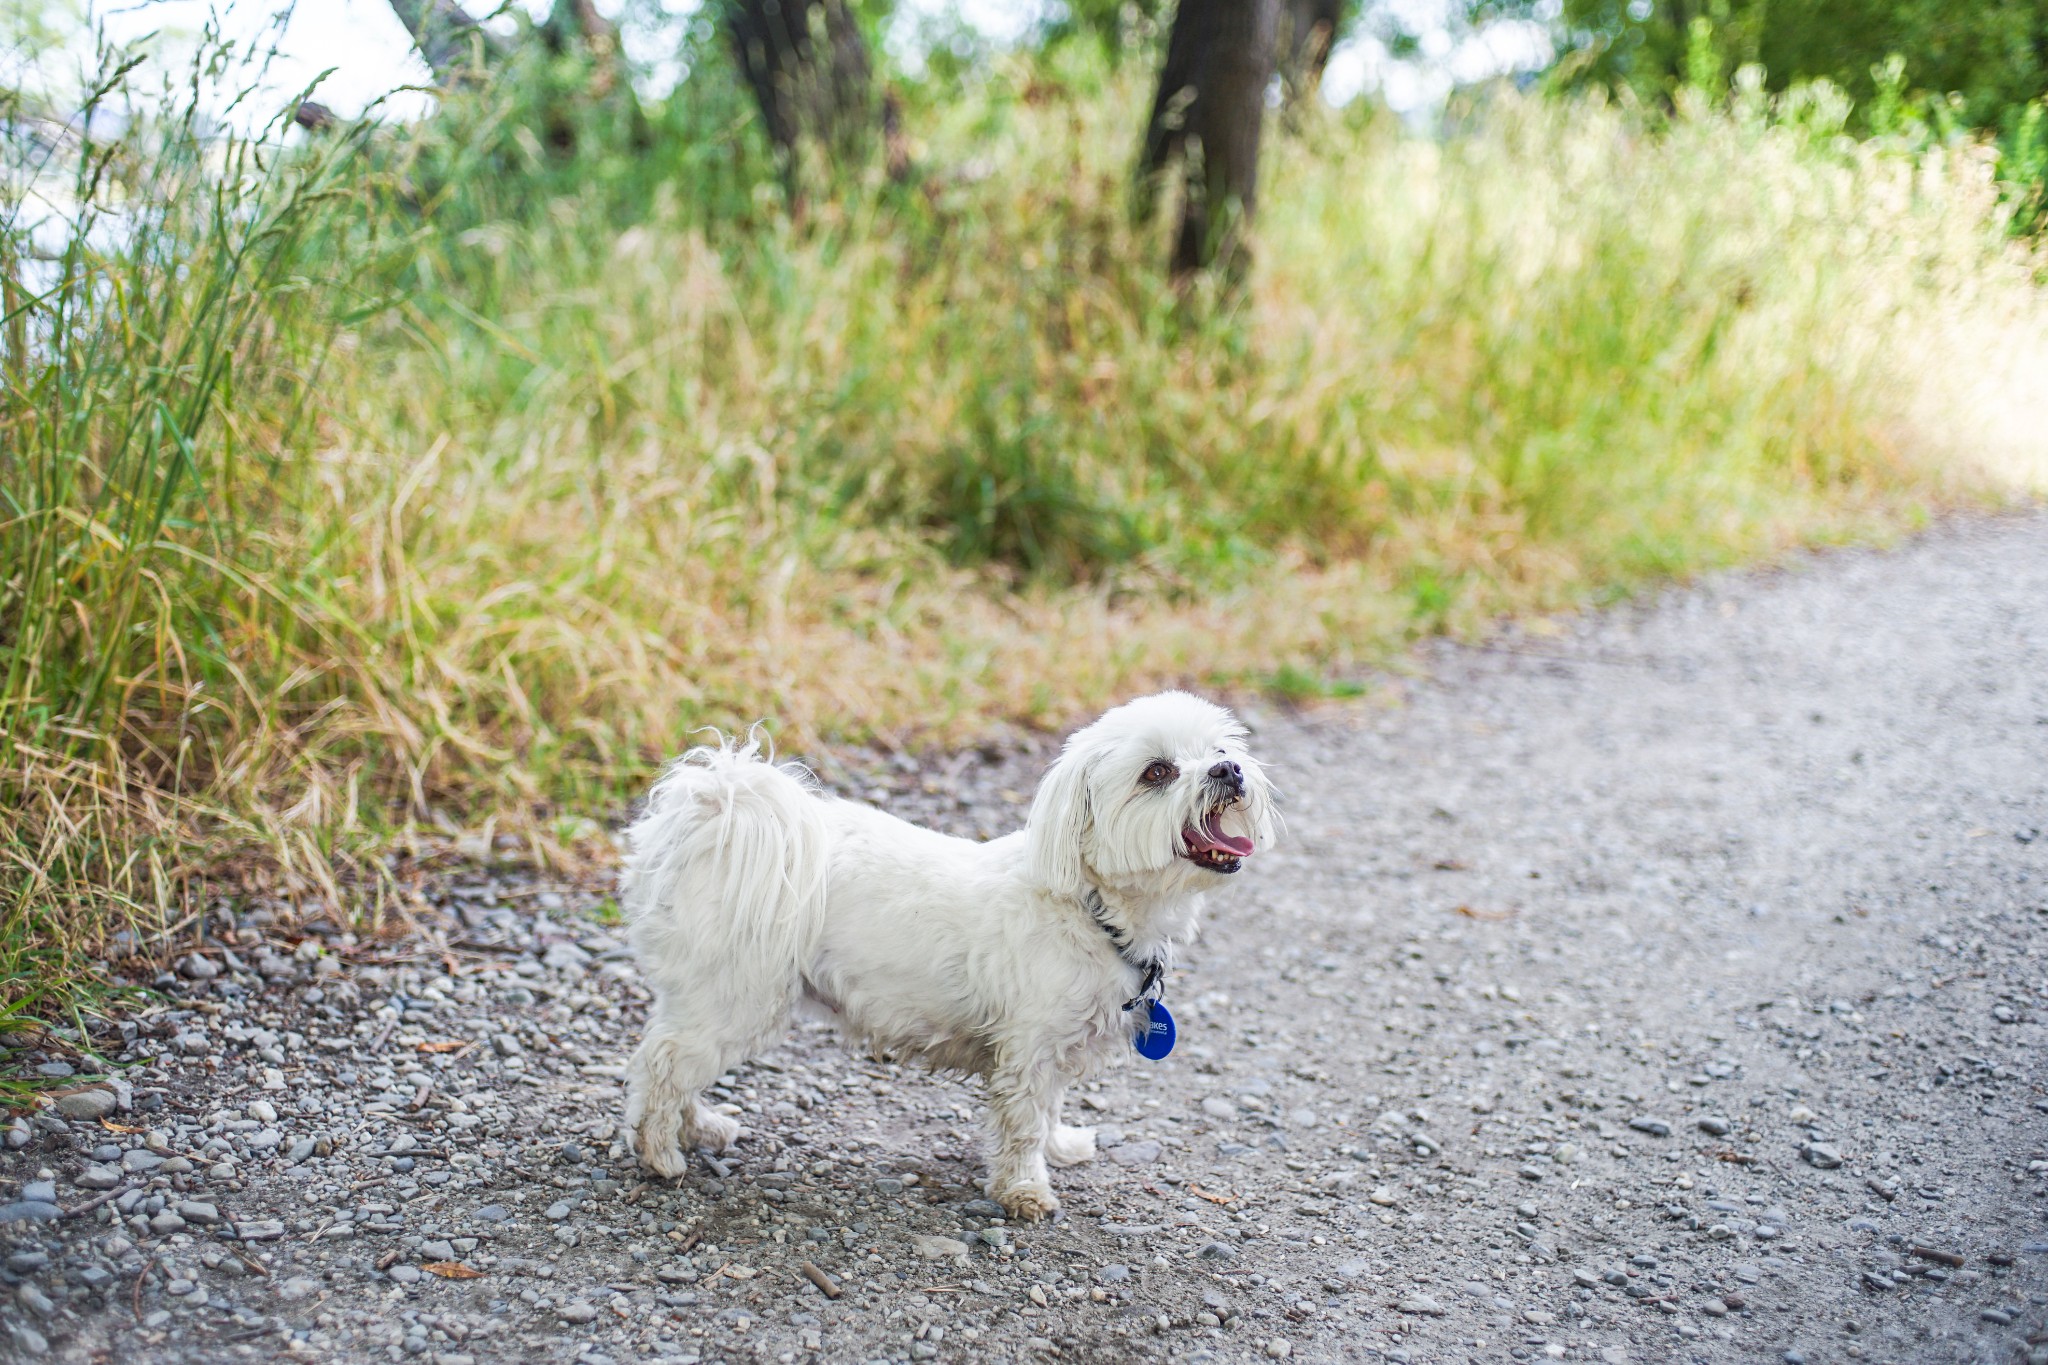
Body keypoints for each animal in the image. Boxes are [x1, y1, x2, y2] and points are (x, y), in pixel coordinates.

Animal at [614, 695, 1269, 1219]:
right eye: (1156, 772)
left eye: (1219, 748)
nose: (1229, 768)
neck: (1090, 906)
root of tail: (715, 813)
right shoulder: (1027, 1052)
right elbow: (1023, 1124)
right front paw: (1024, 1190)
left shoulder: (1054, 1050)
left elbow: (1050, 1111)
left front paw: (1060, 1147)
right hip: (739, 995)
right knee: (663, 1064)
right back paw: (660, 1154)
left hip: (711, 997)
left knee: (675, 1060)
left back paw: (701, 1128)